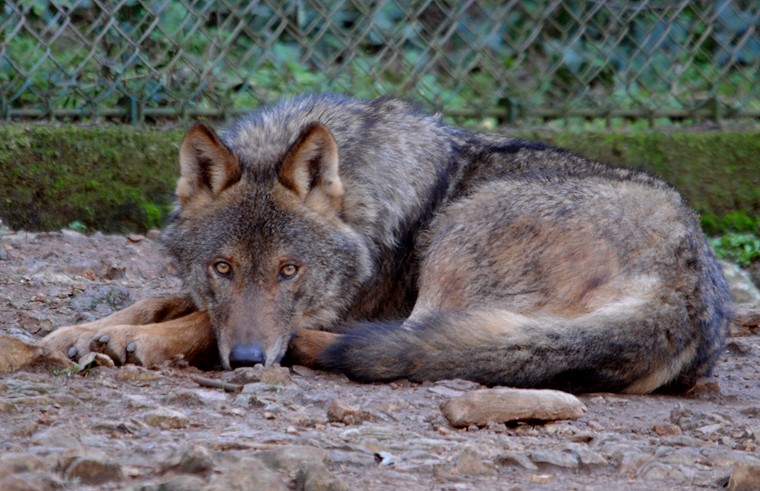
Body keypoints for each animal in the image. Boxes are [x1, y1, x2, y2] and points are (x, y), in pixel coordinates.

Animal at [40, 94, 732, 394]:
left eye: (290, 270)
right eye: (222, 266)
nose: (249, 360)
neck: (362, 198)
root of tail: (684, 289)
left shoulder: (336, 304)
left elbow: (196, 322)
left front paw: (136, 341)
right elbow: (165, 300)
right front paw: (78, 331)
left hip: (461, 227)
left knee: (409, 339)